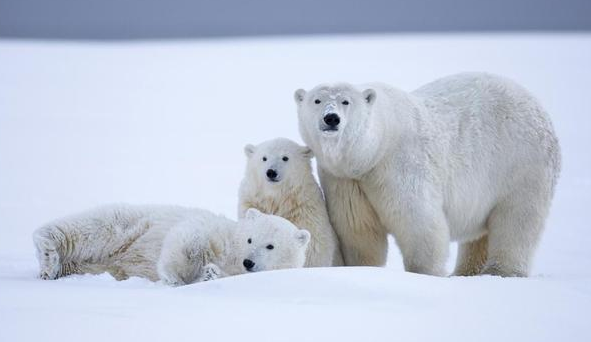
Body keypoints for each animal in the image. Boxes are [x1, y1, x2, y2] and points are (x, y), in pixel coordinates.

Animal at [33, 204, 310, 284]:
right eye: (250, 238)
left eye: (270, 246)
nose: (248, 261)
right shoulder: (216, 231)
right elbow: (188, 237)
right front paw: (174, 275)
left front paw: (209, 273)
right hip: (130, 226)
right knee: (92, 227)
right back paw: (47, 251)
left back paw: (54, 268)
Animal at [238, 137, 344, 268]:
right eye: (264, 158)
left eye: (285, 157)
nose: (271, 172)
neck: (277, 198)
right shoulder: (252, 202)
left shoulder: (304, 211)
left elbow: (313, 248)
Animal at [296, 73, 564, 278]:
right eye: (317, 100)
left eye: (346, 101)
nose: (331, 119)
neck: (373, 151)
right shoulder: (345, 179)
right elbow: (358, 230)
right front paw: (362, 268)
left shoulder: (399, 164)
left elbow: (419, 222)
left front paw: (425, 274)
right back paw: (466, 272)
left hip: (521, 164)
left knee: (517, 220)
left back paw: (502, 271)